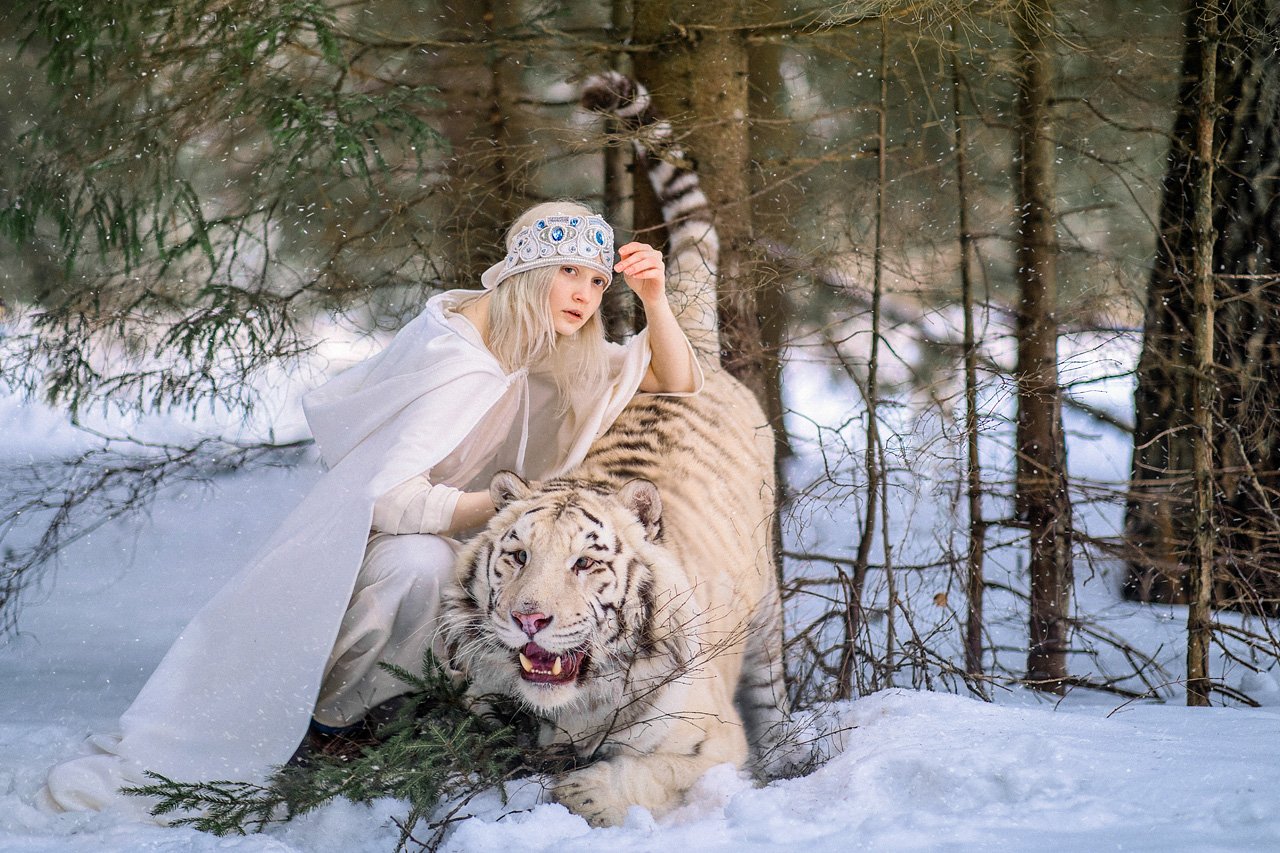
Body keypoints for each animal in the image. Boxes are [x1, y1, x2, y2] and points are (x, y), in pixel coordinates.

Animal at [440, 71, 788, 824]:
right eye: (516, 556)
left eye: (585, 563)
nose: (529, 619)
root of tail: (692, 346)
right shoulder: (478, 694)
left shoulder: (709, 733)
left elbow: (648, 772)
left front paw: (583, 793)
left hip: (768, 600)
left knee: (773, 684)